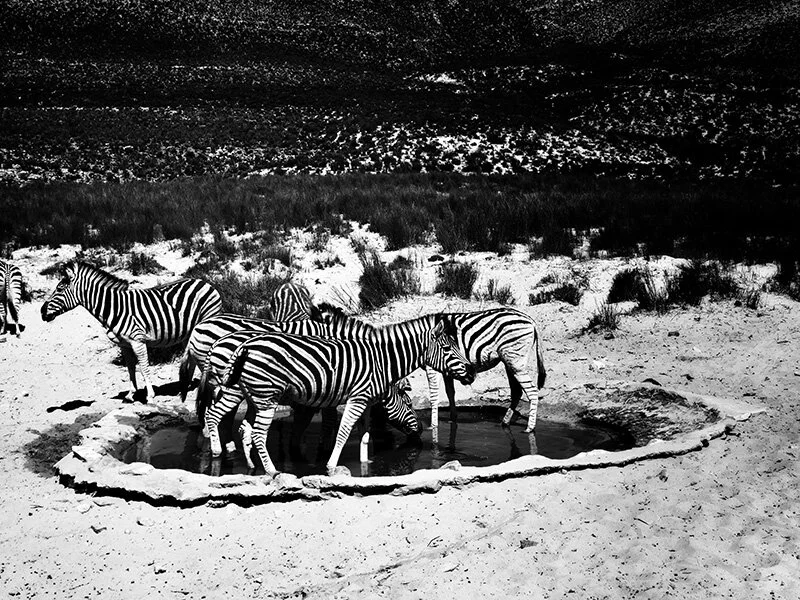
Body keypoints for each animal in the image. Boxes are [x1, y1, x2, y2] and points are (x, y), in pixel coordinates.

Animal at [41, 260, 222, 401]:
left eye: (60, 289)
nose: (42, 312)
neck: (113, 308)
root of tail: (204, 282)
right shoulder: (124, 345)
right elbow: (130, 368)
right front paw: (130, 394)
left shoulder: (138, 341)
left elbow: (143, 367)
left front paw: (150, 395)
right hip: (189, 332)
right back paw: (187, 387)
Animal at [216, 314, 475, 476]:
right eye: (447, 349)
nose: (472, 372)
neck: (382, 360)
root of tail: (246, 345)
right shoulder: (356, 397)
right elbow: (342, 432)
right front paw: (331, 466)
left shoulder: (366, 400)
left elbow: (365, 436)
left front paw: (365, 463)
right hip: (265, 397)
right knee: (256, 433)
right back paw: (271, 471)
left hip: (254, 397)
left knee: (245, 429)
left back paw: (252, 467)